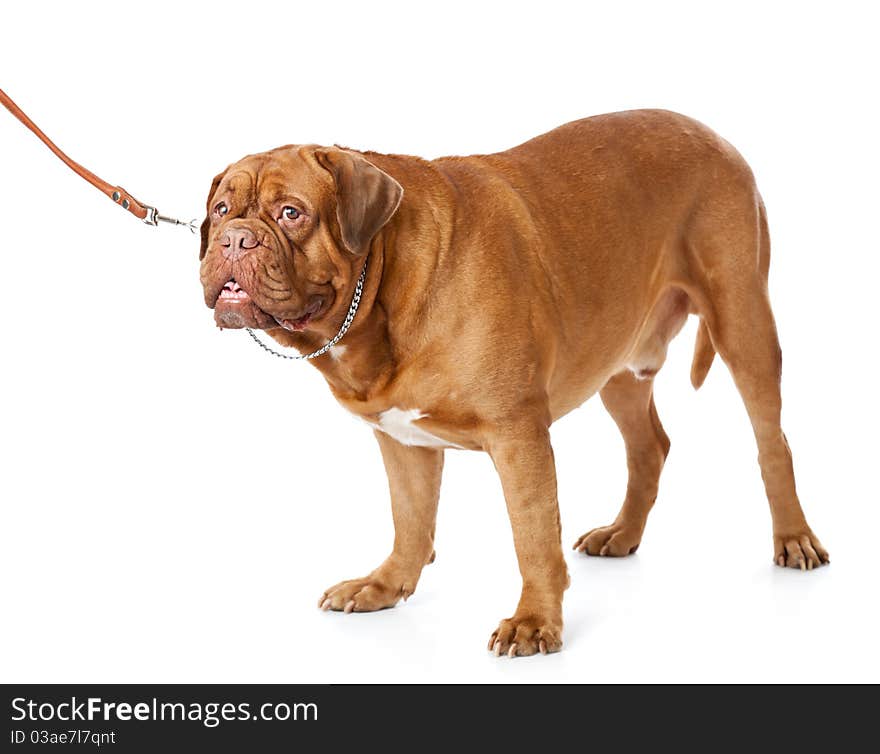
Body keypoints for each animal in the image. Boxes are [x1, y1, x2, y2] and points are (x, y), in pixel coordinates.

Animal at [198, 108, 824, 656]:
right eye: (222, 208)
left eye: (291, 213)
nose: (233, 238)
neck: (381, 287)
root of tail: (712, 132)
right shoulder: (402, 441)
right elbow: (410, 519)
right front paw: (385, 585)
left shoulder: (518, 436)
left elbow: (533, 536)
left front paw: (535, 622)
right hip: (618, 364)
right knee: (650, 445)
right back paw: (622, 533)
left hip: (742, 321)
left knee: (772, 442)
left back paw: (793, 538)